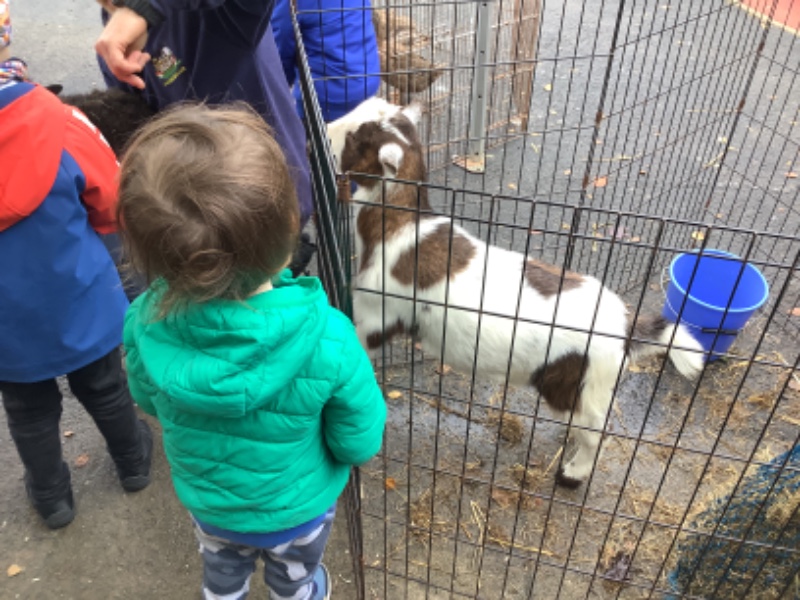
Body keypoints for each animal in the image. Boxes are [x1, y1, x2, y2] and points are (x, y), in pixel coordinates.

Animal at [327, 97, 705, 487]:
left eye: (356, 137)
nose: (326, 130)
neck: (400, 226)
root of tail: (624, 325)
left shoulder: (376, 312)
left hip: (579, 384)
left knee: (595, 433)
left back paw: (573, 473)